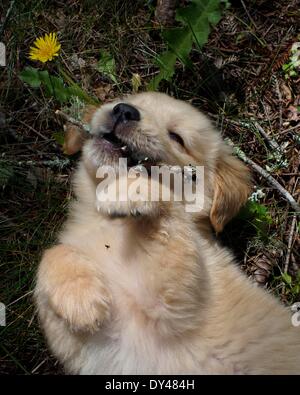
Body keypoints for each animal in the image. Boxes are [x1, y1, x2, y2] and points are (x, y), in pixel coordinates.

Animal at [35, 92, 300, 374]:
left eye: (177, 137)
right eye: (126, 100)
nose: (124, 111)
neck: (104, 223)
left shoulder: (172, 299)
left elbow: (171, 206)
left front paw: (129, 188)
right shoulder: (83, 344)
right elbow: (51, 253)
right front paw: (81, 298)